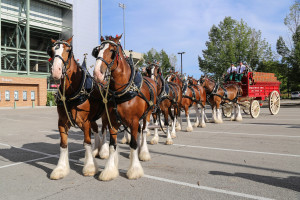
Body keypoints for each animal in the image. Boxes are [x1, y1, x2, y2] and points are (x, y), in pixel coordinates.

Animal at [48, 37, 105, 180]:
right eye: (51, 51)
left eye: (68, 50)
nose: (56, 71)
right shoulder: (62, 122)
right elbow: (63, 144)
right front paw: (61, 168)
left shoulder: (85, 122)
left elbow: (86, 142)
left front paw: (90, 167)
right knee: (96, 130)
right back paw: (97, 150)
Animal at [93, 35, 157, 180]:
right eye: (97, 50)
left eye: (112, 51)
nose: (97, 73)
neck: (122, 91)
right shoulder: (112, 120)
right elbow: (112, 145)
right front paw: (110, 170)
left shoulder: (134, 120)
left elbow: (132, 143)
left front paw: (134, 170)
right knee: (139, 132)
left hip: (147, 114)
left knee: (144, 131)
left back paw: (143, 153)